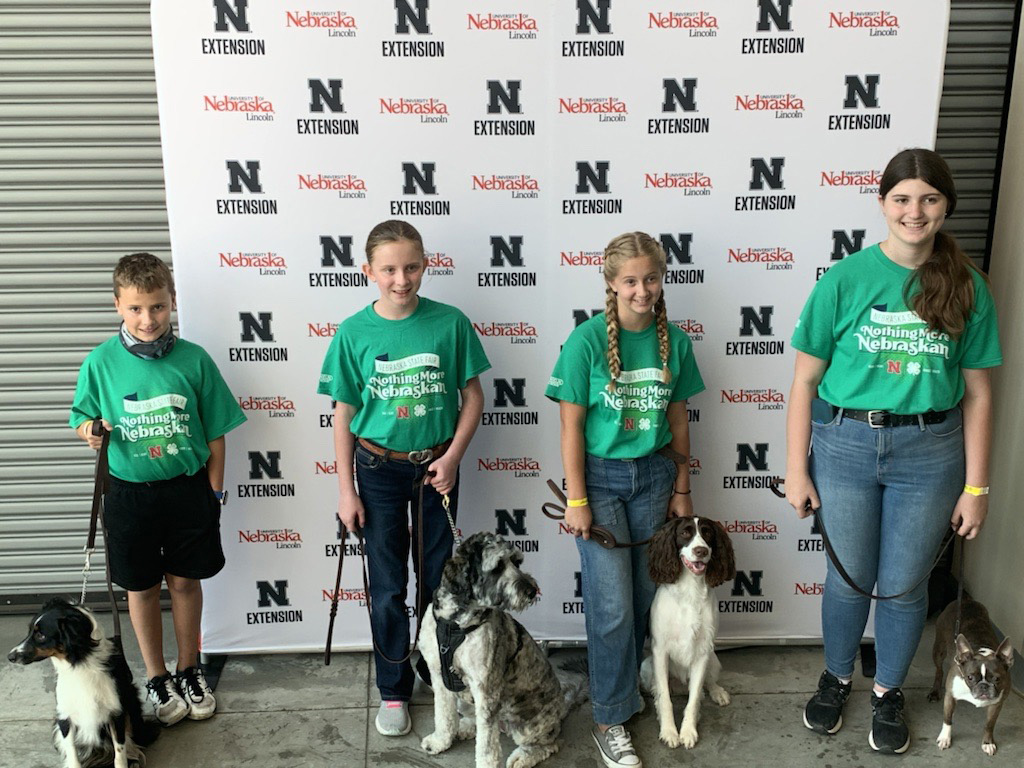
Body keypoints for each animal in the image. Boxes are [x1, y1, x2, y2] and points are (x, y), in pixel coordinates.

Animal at [7, 602, 157, 768]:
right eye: (29, 632)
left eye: (41, 635)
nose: (10, 656)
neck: (79, 664)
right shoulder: (65, 715)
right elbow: (72, 753)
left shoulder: (115, 712)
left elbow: (120, 751)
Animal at [419, 532, 589, 768]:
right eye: (498, 566)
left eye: (517, 562)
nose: (532, 591)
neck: (456, 623)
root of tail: (562, 707)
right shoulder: (438, 676)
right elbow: (444, 715)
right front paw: (440, 741)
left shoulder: (485, 689)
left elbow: (487, 747)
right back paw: (465, 727)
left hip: (526, 724)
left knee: (550, 744)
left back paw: (523, 757)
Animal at [643, 518, 733, 753]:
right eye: (685, 533)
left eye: (707, 533)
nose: (701, 551)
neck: (690, 589)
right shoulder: (660, 650)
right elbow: (665, 697)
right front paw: (669, 731)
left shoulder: (703, 652)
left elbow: (693, 701)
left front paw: (688, 732)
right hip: (646, 666)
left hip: (714, 660)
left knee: (707, 683)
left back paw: (717, 692)